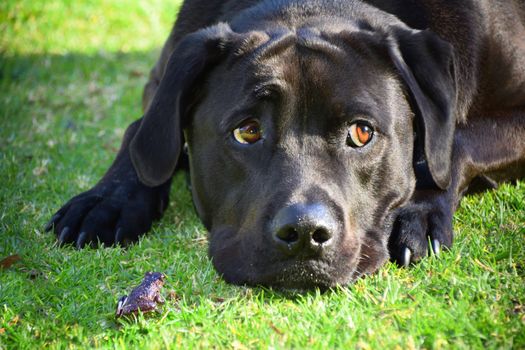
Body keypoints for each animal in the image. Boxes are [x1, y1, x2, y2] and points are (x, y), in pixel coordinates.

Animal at [46, 1, 524, 288]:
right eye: (247, 131)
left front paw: (419, 212)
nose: (305, 234)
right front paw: (106, 201)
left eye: (362, 132)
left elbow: (454, 143)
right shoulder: (162, 78)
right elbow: (140, 133)